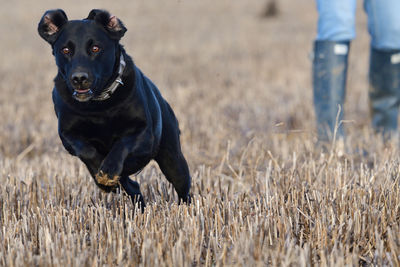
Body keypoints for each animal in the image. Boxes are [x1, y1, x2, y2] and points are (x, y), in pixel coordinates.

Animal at [38, 8, 191, 209]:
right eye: (65, 50)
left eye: (95, 48)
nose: (79, 78)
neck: (99, 105)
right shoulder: (67, 135)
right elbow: (86, 150)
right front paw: (103, 174)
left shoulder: (145, 134)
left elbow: (121, 144)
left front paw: (108, 171)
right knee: (132, 187)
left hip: (173, 159)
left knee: (183, 188)